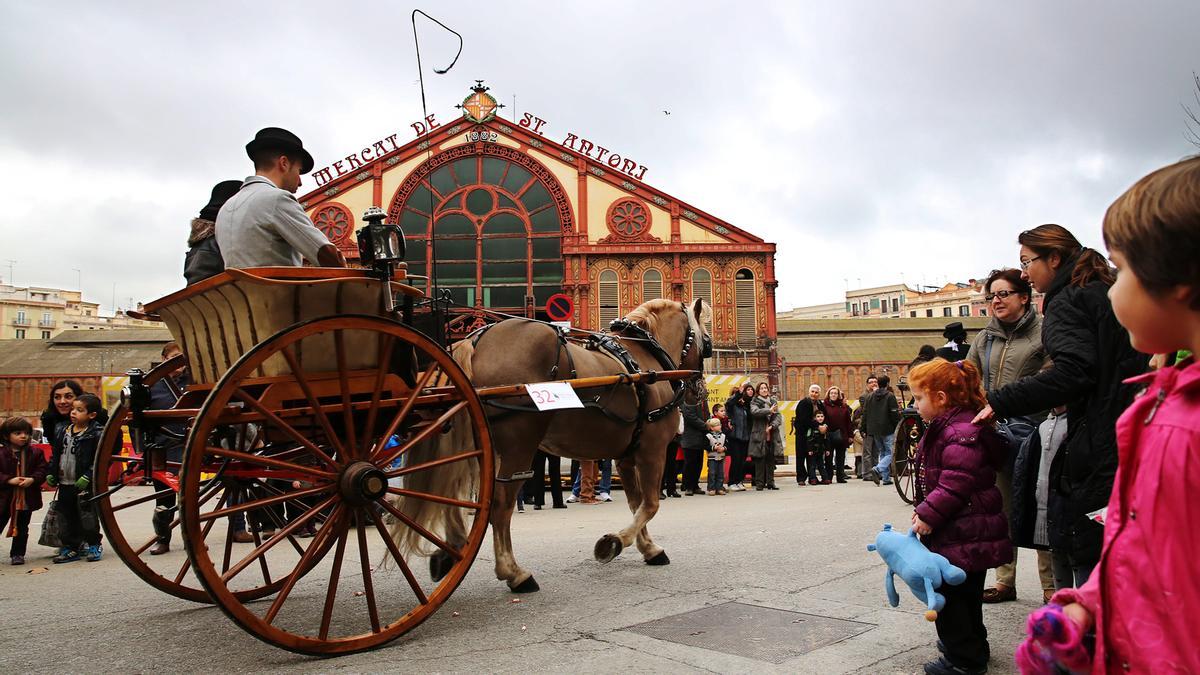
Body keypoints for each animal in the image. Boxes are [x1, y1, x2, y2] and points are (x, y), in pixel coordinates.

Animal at [393, 297, 710, 588]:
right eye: (705, 343)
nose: (699, 390)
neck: (644, 360)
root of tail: (477, 339)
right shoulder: (652, 451)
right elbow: (651, 504)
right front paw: (615, 542)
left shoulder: (626, 457)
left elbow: (636, 503)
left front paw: (648, 547)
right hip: (518, 446)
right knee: (500, 506)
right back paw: (514, 572)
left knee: (458, 492)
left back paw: (451, 550)